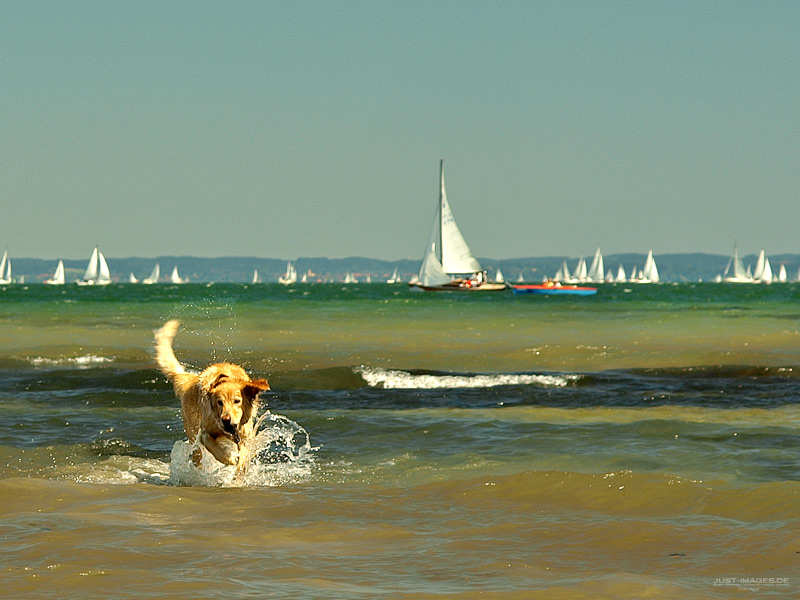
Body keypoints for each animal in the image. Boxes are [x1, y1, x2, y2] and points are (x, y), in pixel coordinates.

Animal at [155, 322, 270, 472]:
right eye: (220, 402)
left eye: (237, 401)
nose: (226, 420)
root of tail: (192, 379)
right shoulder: (205, 429)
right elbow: (208, 440)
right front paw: (228, 457)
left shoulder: (245, 436)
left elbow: (243, 459)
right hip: (193, 434)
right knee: (197, 453)